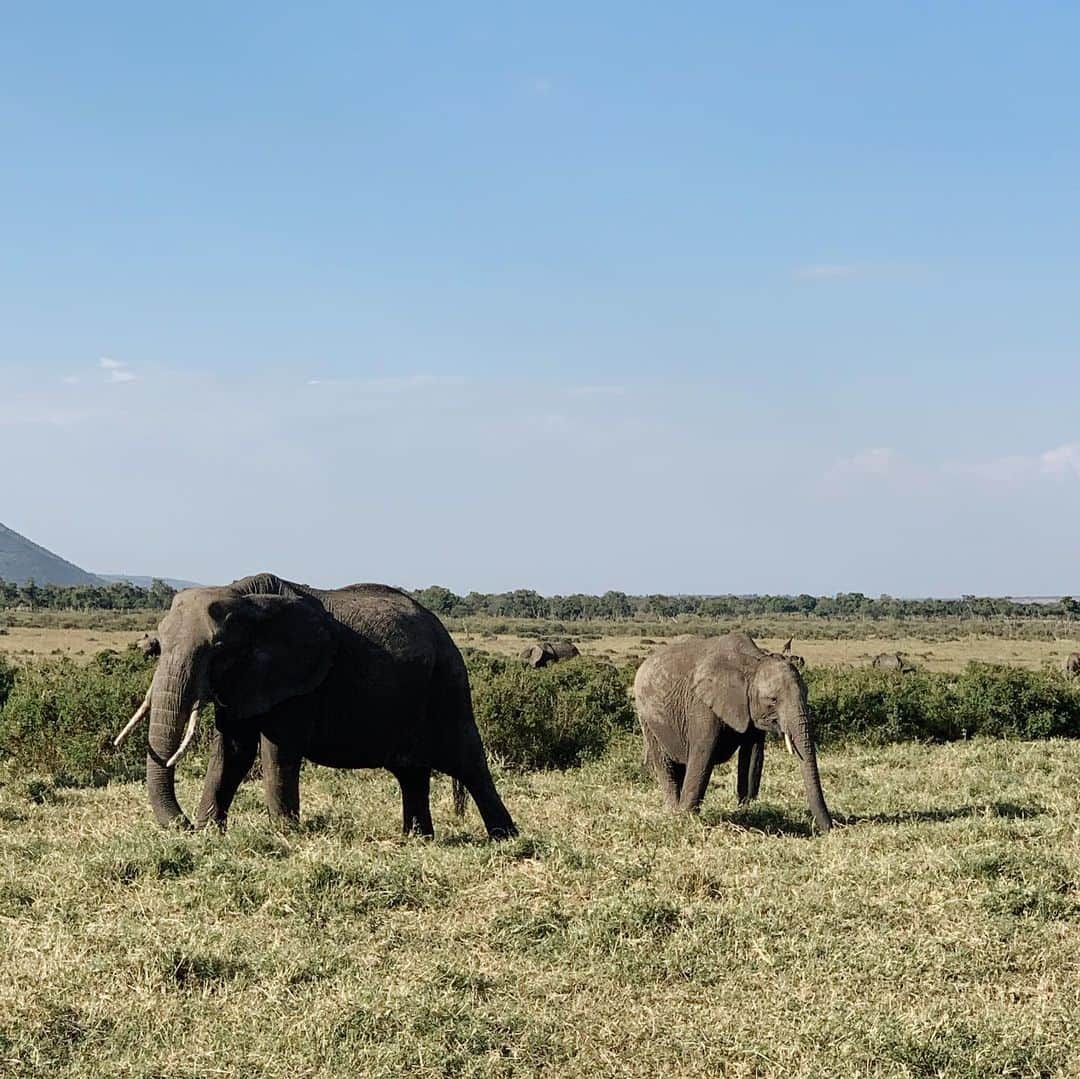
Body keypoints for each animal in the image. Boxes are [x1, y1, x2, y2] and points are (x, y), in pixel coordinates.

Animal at [111, 574, 516, 842]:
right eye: (158, 644)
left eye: (219, 649)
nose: (182, 826)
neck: (242, 596)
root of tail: (442, 628)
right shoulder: (246, 679)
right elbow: (232, 751)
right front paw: (210, 831)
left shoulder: (299, 678)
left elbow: (277, 751)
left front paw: (284, 835)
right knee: (411, 771)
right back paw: (416, 840)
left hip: (447, 681)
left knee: (467, 760)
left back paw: (506, 839)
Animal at [630, 630, 829, 833]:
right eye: (773, 700)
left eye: (806, 693)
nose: (829, 828)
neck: (753, 662)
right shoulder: (703, 704)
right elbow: (703, 753)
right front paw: (686, 818)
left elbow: (752, 756)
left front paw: (748, 809)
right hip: (646, 717)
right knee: (664, 762)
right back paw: (673, 811)